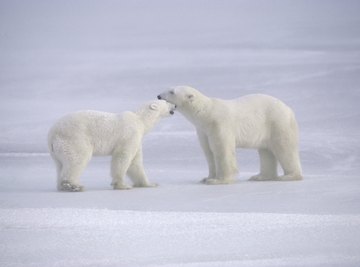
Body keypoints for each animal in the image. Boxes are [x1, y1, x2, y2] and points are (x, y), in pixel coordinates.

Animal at [48, 99, 176, 192]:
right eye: (166, 102)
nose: (175, 105)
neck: (140, 120)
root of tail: (51, 135)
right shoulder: (129, 135)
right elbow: (122, 157)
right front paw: (122, 185)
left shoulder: (137, 140)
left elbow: (135, 163)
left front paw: (150, 184)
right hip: (74, 139)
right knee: (78, 159)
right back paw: (74, 186)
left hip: (58, 150)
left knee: (60, 165)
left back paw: (62, 186)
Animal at [159, 87, 302, 185]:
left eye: (172, 91)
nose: (159, 96)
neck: (206, 113)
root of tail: (289, 109)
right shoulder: (203, 130)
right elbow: (209, 153)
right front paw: (207, 178)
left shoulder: (219, 124)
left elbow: (222, 150)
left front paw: (219, 180)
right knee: (266, 151)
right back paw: (260, 176)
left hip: (277, 123)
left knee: (284, 148)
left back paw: (289, 176)